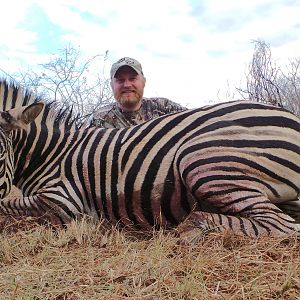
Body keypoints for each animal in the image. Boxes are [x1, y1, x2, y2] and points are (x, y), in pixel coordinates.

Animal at [0, 78, 300, 239]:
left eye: (0, 153)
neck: (51, 152)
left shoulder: (64, 200)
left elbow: (7, 205)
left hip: (200, 161)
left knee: (282, 224)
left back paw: (190, 228)